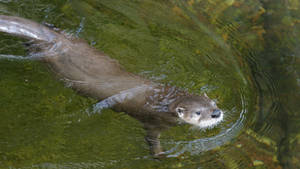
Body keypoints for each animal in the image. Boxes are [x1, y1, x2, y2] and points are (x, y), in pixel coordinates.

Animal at [0, 15, 224, 156]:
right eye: (198, 112)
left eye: (214, 103)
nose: (216, 114)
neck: (164, 101)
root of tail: (55, 39)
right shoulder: (153, 122)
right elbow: (152, 140)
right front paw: (161, 155)